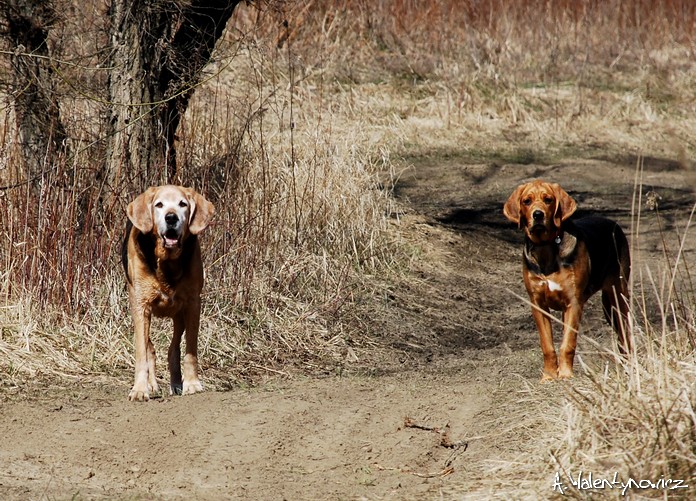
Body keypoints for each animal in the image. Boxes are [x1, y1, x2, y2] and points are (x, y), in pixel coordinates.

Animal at [122, 186, 213, 400]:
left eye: (183, 204)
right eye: (159, 205)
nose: (171, 218)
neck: (167, 262)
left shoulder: (192, 304)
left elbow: (190, 350)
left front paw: (192, 384)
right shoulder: (141, 306)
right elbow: (142, 354)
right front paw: (140, 389)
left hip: (179, 314)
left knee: (173, 348)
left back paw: (176, 384)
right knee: (149, 349)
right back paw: (152, 385)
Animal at [502, 180, 632, 378]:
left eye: (548, 200)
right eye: (526, 201)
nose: (538, 215)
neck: (546, 247)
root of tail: (613, 224)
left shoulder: (574, 302)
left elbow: (568, 344)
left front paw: (565, 375)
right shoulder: (538, 304)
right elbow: (547, 345)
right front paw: (549, 376)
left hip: (618, 296)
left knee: (625, 332)